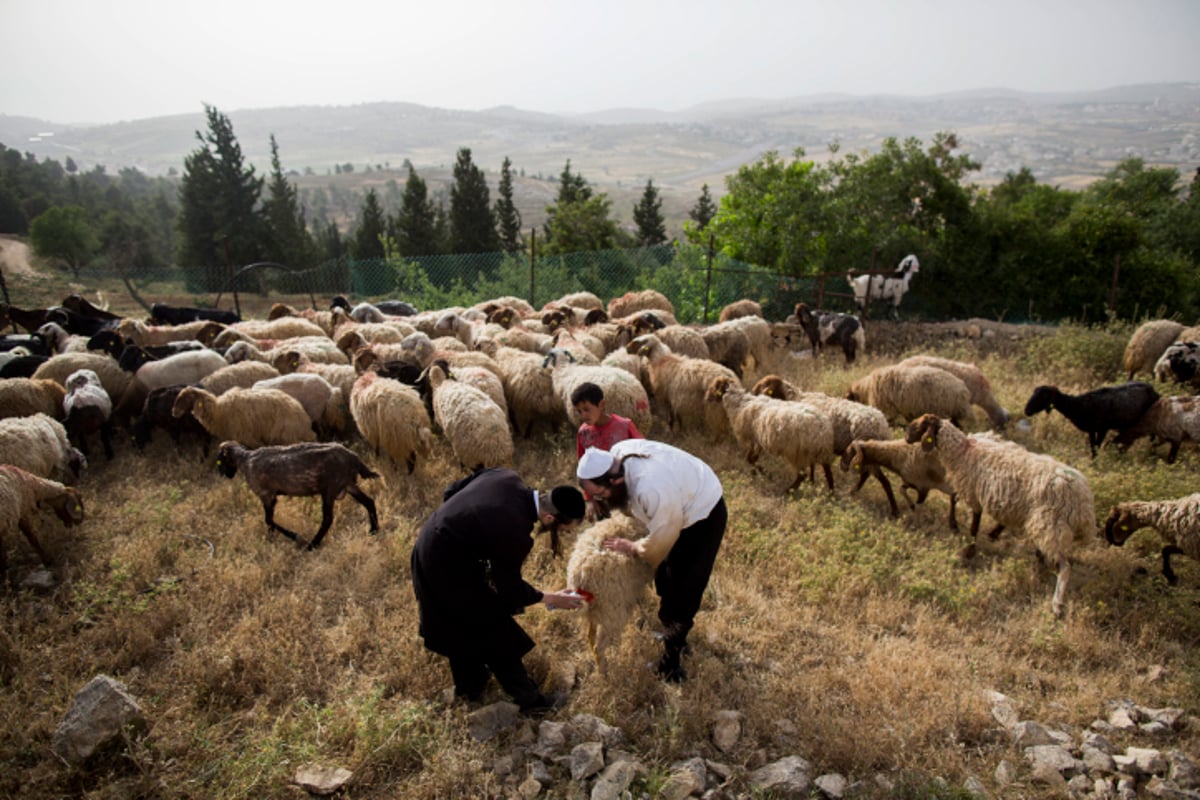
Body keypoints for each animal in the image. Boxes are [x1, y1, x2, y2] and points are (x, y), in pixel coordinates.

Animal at [564, 513, 657, 676]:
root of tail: (580, 576)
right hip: (612, 611)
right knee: (599, 647)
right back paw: (604, 674)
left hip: (596, 610)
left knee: (590, 635)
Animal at [700, 376, 835, 494]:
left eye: (714, 386)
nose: (706, 398)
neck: (739, 402)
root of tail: (821, 428)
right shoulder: (759, 440)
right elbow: (752, 459)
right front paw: (758, 473)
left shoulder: (752, 439)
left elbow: (750, 459)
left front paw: (765, 473)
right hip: (820, 453)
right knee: (828, 472)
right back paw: (831, 494)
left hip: (796, 453)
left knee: (802, 475)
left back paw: (787, 491)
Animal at [907, 412, 1099, 618]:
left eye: (919, 425)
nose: (906, 437)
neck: (962, 451)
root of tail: (1084, 504)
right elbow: (956, 502)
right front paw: (958, 528)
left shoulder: (973, 493)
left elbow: (974, 525)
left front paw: (969, 550)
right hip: (1045, 523)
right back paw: (1036, 566)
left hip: (1051, 523)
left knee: (1064, 567)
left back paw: (1057, 604)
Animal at [1022, 381, 1161, 455]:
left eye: (1041, 396)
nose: (1026, 410)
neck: (1078, 405)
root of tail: (1153, 389)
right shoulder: (1091, 430)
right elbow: (1093, 447)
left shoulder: (1103, 429)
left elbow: (1097, 447)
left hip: (1152, 419)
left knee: (1152, 438)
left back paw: (1151, 454)